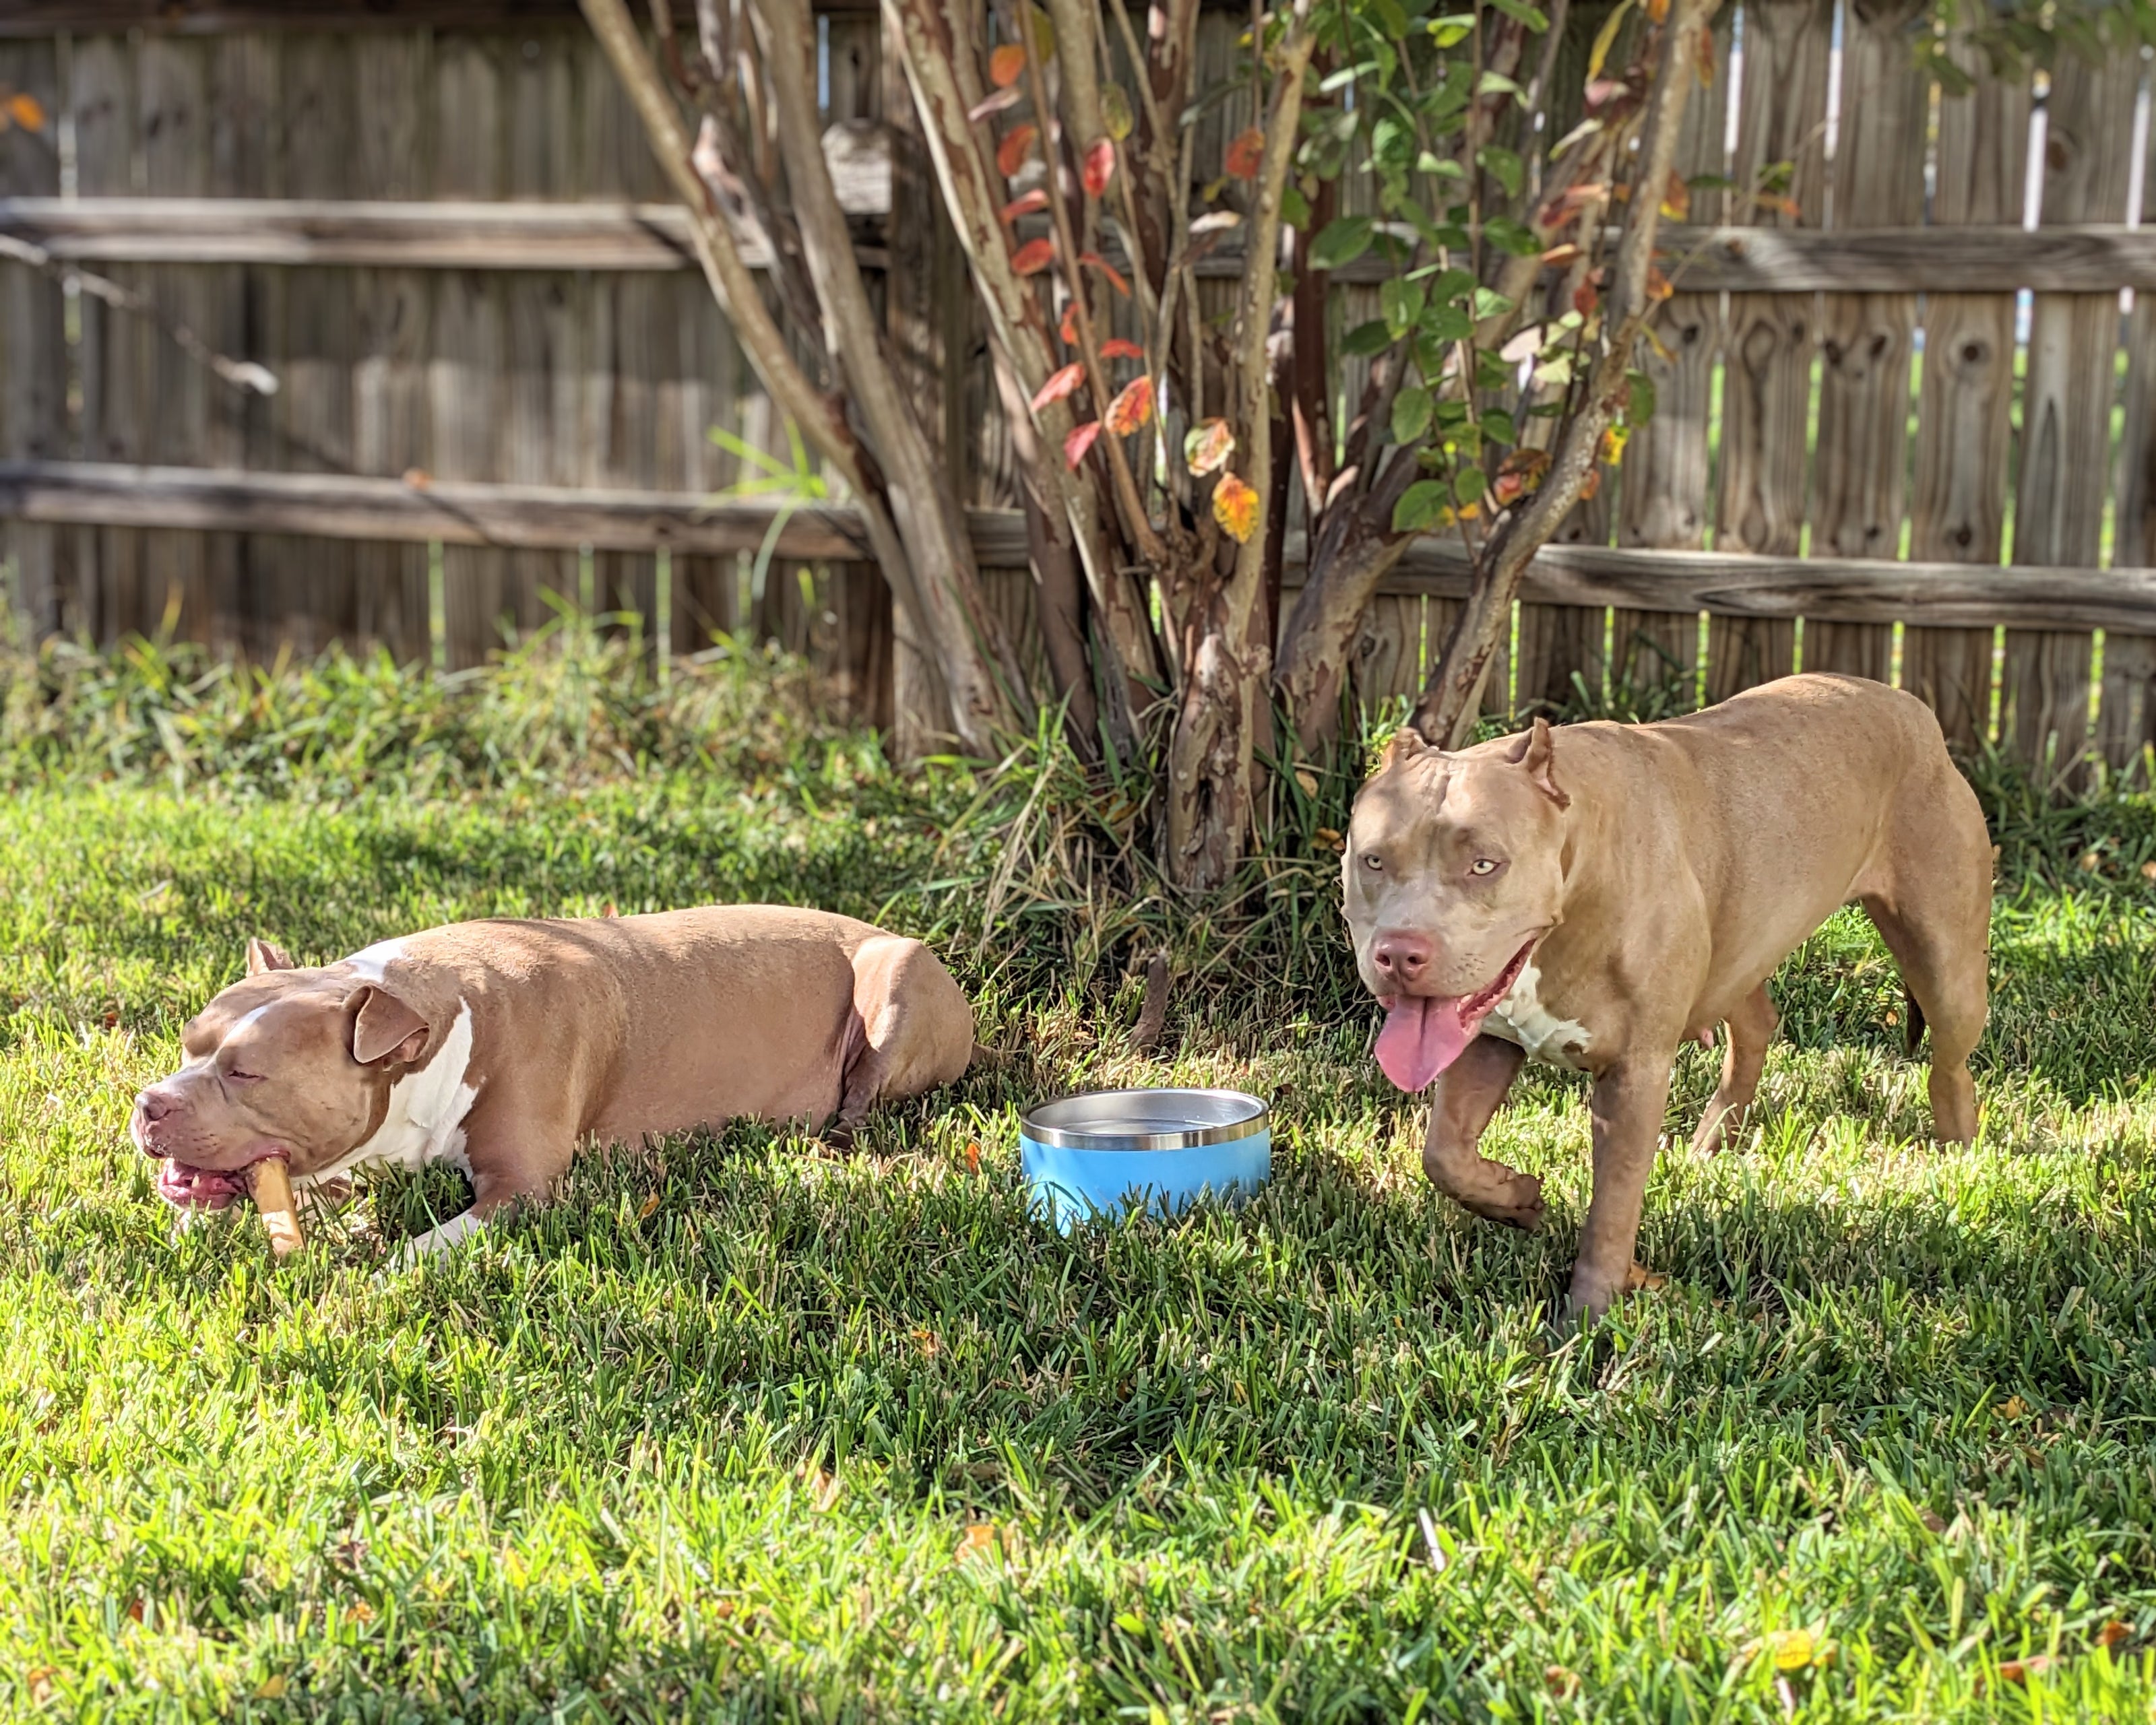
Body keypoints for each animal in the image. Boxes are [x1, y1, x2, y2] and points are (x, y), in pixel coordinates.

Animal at [130, 909, 974, 1259]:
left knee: (860, 1107)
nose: (148, 1103)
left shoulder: (523, 1188)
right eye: (188, 1043)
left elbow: (421, 1247)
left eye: (246, 1071)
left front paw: (375, 1271)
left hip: (895, 983)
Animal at [1337, 672, 1992, 1320]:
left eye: (1483, 865)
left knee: (1950, 1066)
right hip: (1738, 941)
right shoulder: (1488, 1040)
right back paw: (1713, 1142)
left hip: (1946, 961)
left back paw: (1958, 1162)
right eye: (1373, 860)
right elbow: (1444, 1154)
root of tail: (1904, 701)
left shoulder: (1635, 1073)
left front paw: (1589, 1317)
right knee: (1757, 1025)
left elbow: (1613, 1206)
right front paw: (1518, 1197)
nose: (1399, 953)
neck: (1579, 858)